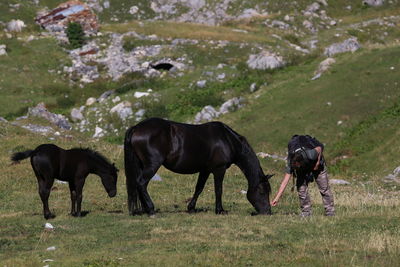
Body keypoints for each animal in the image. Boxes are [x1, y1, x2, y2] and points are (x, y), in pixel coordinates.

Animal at [125, 118, 274, 217]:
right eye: (262, 191)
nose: (267, 212)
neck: (227, 140)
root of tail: (136, 127)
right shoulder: (219, 169)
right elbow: (218, 190)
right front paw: (220, 210)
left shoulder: (205, 170)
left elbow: (199, 188)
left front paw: (191, 208)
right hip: (152, 165)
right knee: (141, 183)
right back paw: (151, 210)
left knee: (140, 185)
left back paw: (146, 210)